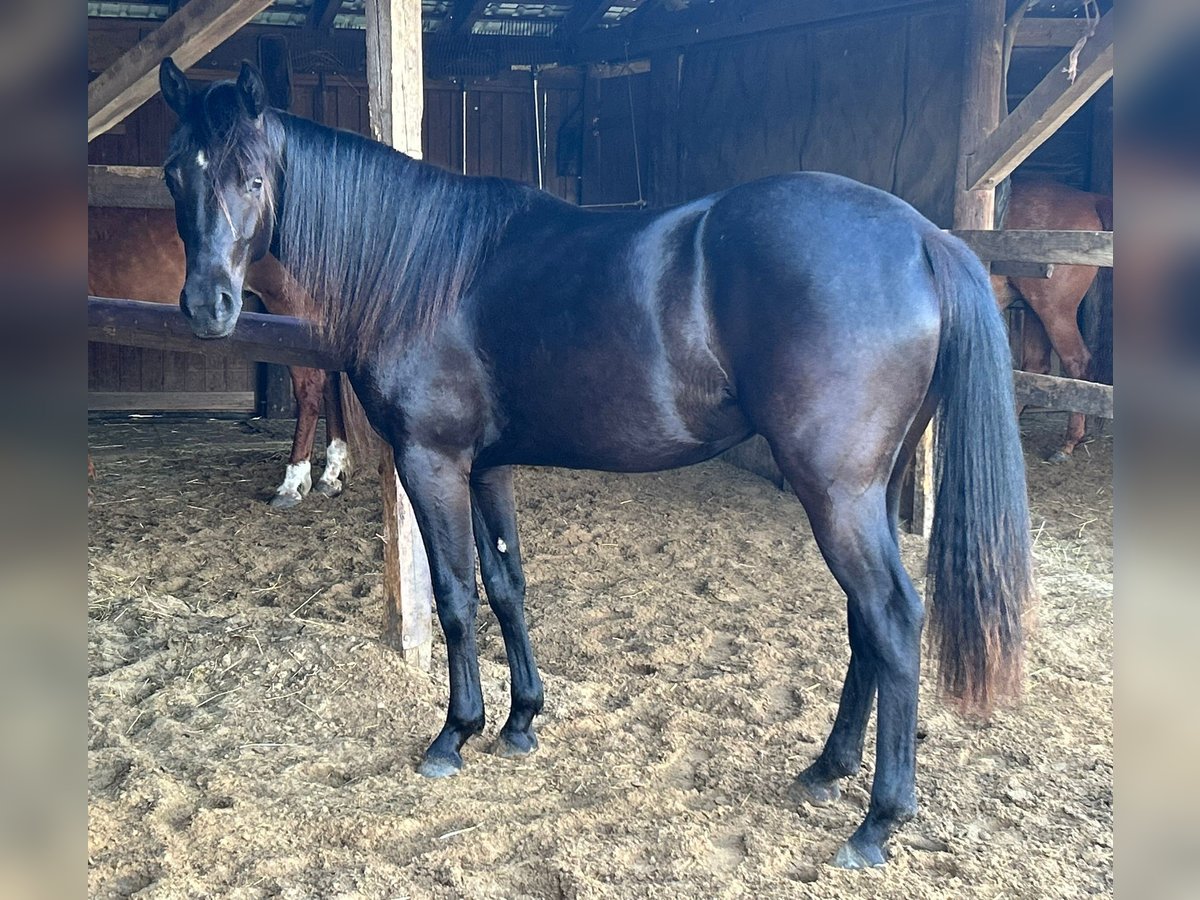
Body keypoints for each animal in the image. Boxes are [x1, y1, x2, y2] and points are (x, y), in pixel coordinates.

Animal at [159, 60, 1036, 868]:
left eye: (252, 177)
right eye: (175, 172)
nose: (207, 308)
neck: (425, 270)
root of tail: (923, 237)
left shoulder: (432, 462)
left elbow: (454, 595)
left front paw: (454, 734)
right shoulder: (489, 467)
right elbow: (506, 583)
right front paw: (521, 721)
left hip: (835, 493)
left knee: (892, 617)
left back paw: (878, 820)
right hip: (868, 492)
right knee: (866, 623)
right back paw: (827, 769)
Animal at [993, 178, 1113, 460]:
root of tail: (1090, 199)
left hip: (1054, 312)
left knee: (1077, 363)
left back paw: (1068, 443)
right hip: (1036, 311)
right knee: (1034, 368)